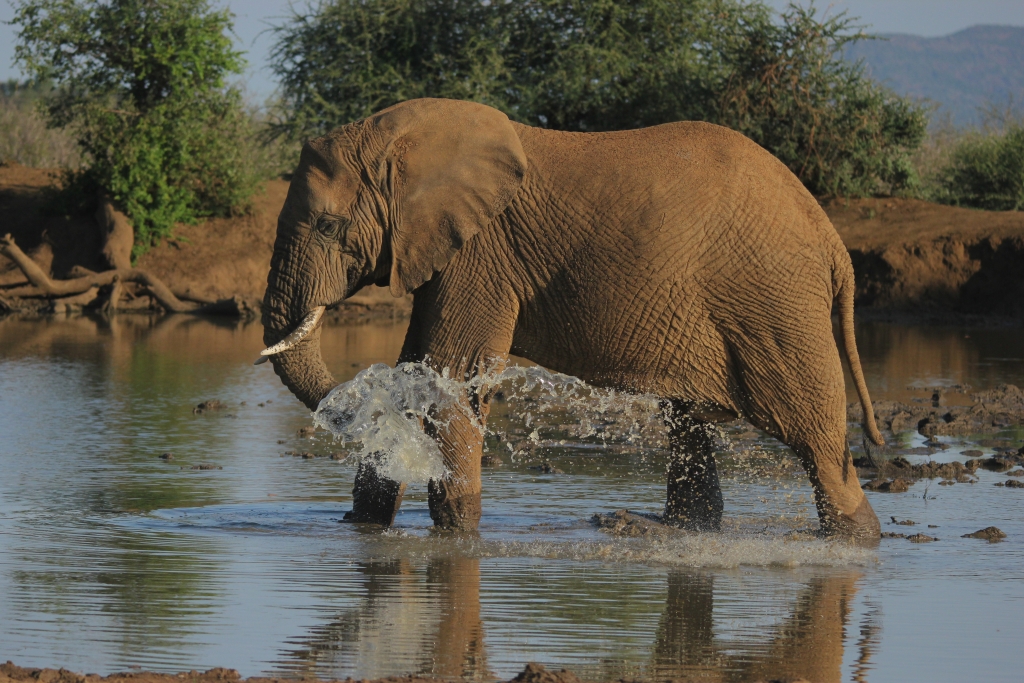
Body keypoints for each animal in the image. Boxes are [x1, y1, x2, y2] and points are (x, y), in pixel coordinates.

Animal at [259, 97, 884, 542]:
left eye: (329, 228)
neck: (400, 136)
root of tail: (834, 243)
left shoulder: (482, 252)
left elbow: (452, 371)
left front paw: (458, 534)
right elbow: (418, 367)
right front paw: (363, 526)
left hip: (774, 305)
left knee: (814, 437)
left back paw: (852, 536)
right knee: (688, 419)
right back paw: (639, 528)